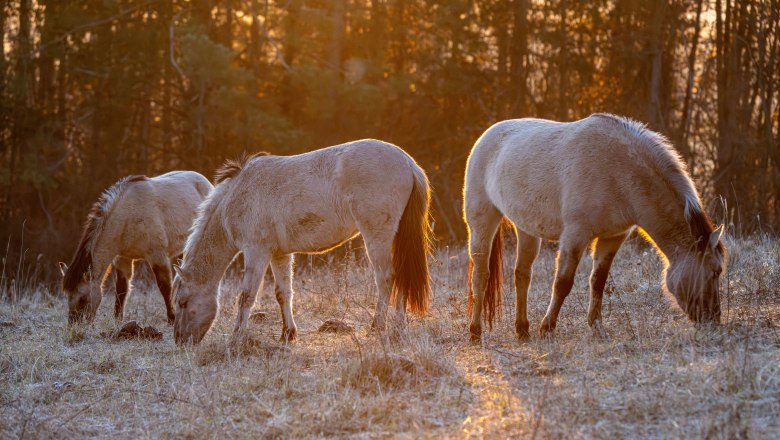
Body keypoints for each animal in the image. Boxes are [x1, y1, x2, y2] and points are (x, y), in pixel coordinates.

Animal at [58, 170, 213, 324]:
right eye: (68, 297)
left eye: (82, 299)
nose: (74, 325)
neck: (128, 215)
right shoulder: (123, 258)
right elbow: (122, 289)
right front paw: (117, 320)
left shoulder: (157, 256)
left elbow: (165, 288)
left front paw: (172, 318)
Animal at [171, 139, 436, 346]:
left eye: (183, 303)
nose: (180, 341)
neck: (236, 196)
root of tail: (407, 161)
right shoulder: (279, 254)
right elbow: (283, 293)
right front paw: (288, 334)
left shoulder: (256, 251)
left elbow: (246, 296)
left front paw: (237, 336)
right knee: (400, 277)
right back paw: (399, 327)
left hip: (377, 237)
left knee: (386, 278)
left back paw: (378, 326)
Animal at [464, 112, 724, 340]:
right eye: (715, 271)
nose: (713, 319)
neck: (618, 169)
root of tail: (485, 137)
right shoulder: (575, 235)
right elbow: (563, 283)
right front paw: (547, 328)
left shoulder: (613, 237)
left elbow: (598, 281)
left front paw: (597, 327)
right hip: (482, 224)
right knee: (480, 276)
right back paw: (475, 332)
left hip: (526, 230)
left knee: (522, 276)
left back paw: (522, 330)